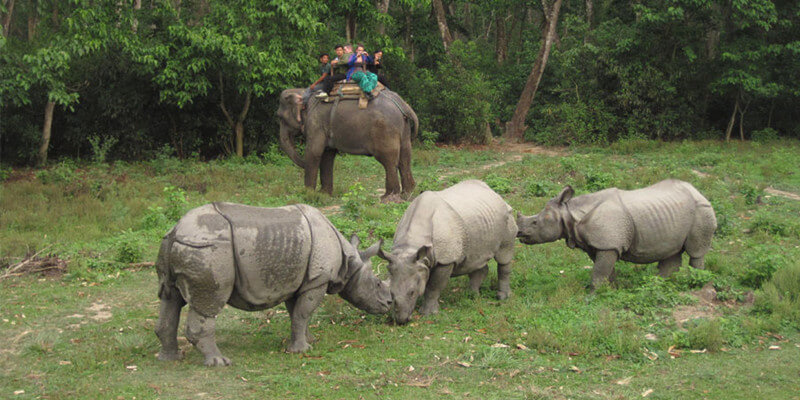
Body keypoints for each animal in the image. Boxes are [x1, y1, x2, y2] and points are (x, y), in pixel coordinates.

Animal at [277, 88, 418, 202]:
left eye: (280, 117)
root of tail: (403, 105)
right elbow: (327, 155)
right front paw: (324, 195)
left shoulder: (316, 123)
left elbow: (314, 152)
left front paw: (308, 195)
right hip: (404, 129)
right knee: (405, 158)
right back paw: (407, 194)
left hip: (384, 130)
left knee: (389, 161)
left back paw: (387, 198)